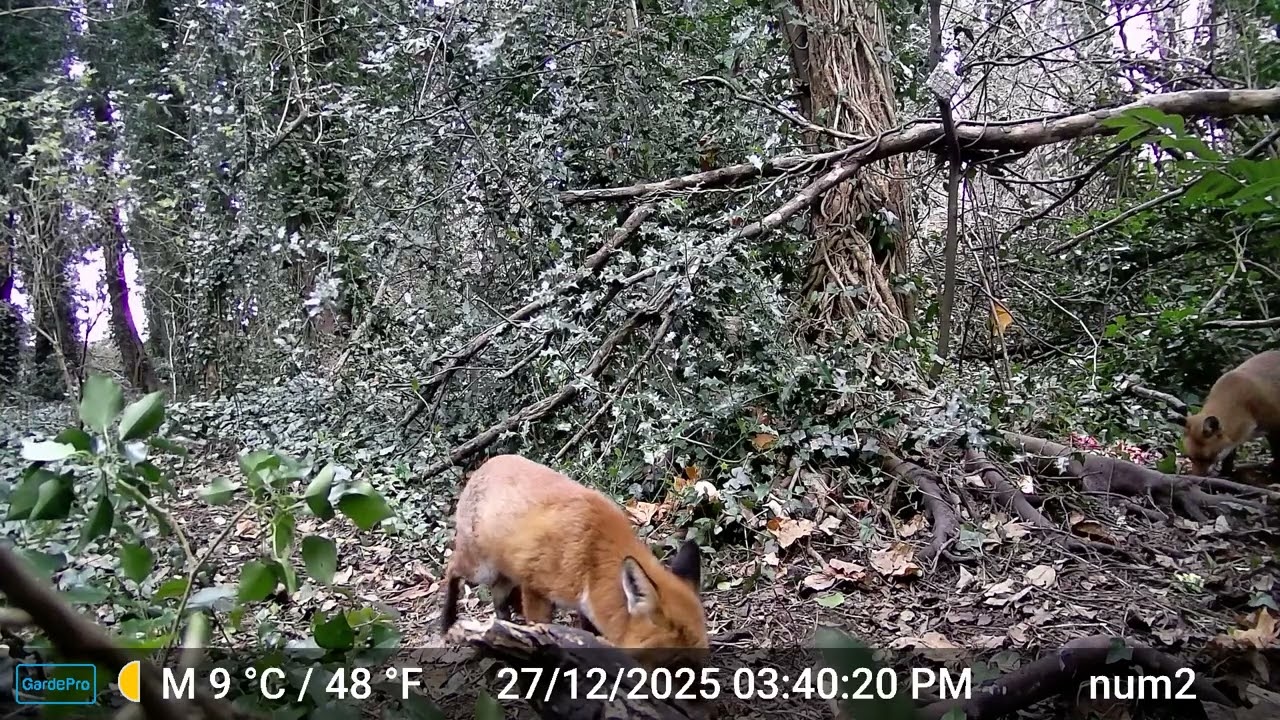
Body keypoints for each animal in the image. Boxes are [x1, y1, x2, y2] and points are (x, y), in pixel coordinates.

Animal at [439, 454, 709, 652]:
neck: (593, 557)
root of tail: (484, 465)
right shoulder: (535, 588)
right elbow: (541, 627)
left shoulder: (586, 604)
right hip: (480, 569)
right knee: (451, 569)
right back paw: (447, 621)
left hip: (505, 574)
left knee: (498, 600)